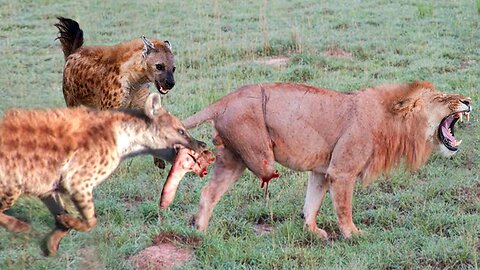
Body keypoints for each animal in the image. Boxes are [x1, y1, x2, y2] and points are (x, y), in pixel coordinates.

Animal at [162, 81, 472, 239]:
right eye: (442, 98)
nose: (468, 101)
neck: (392, 122)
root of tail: (225, 99)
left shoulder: (322, 171)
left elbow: (312, 203)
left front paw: (311, 231)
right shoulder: (342, 171)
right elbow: (344, 207)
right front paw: (353, 235)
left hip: (234, 159)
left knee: (208, 192)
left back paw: (201, 233)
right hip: (256, 154)